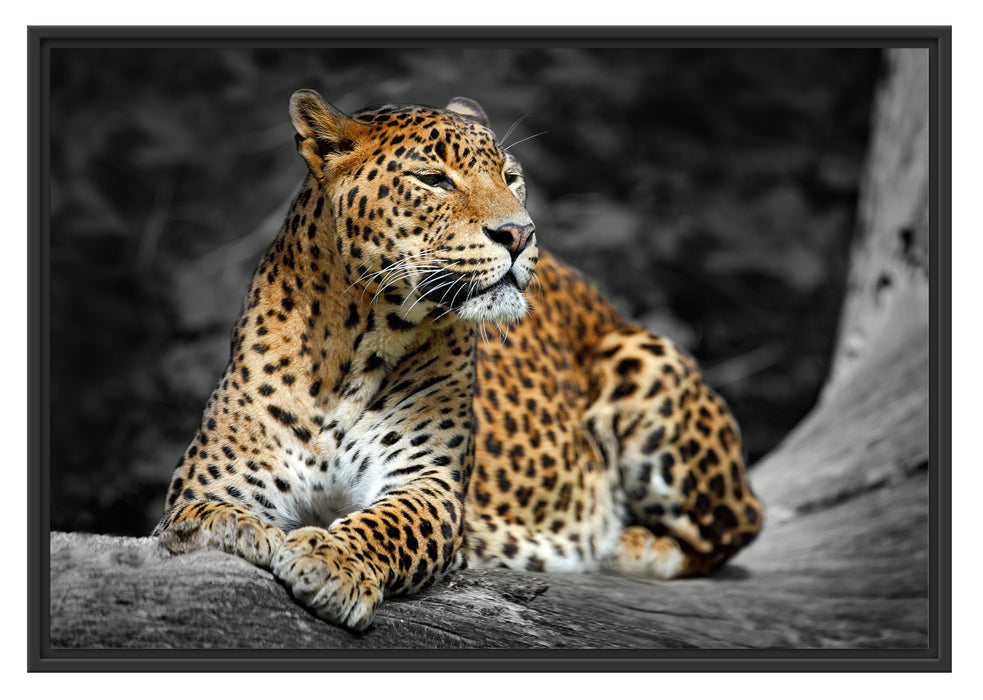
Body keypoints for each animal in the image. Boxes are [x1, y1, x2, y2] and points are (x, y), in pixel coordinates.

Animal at [154, 89, 763, 631]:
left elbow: (386, 525)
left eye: (511, 178)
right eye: (433, 179)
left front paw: (330, 561)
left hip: (644, 359)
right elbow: (199, 517)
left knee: (738, 525)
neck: (354, 347)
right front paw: (239, 531)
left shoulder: (430, 484)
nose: (520, 233)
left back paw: (630, 543)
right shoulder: (210, 482)